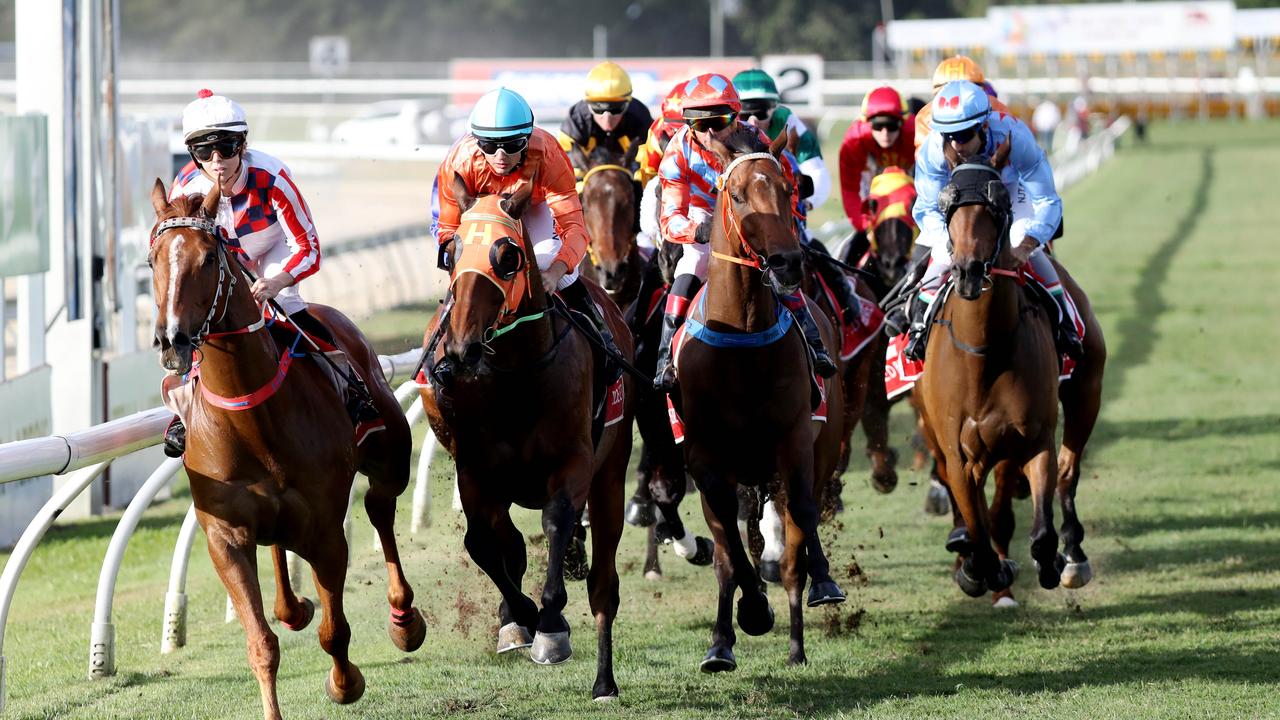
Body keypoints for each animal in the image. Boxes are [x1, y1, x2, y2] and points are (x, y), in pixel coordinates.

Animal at [145, 179, 424, 717]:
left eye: (208, 258)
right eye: (152, 260)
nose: (173, 340)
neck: (251, 420)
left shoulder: (325, 531)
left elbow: (335, 631)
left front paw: (344, 684)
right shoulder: (225, 537)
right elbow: (262, 644)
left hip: (391, 457)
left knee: (380, 508)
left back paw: (405, 620)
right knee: (281, 552)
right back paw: (292, 607)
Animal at [417, 179, 632, 702]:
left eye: (507, 256)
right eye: (451, 252)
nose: (462, 349)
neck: (515, 377)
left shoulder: (574, 464)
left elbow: (556, 523)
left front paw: (550, 625)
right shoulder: (475, 471)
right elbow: (482, 543)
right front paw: (519, 618)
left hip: (611, 472)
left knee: (604, 582)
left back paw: (604, 681)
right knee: (507, 542)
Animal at [675, 126, 844, 671]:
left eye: (788, 190)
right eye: (737, 193)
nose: (788, 262)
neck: (743, 339)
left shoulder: (794, 444)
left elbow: (803, 523)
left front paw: (819, 585)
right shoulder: (706, 460)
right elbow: (729, 550)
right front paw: (742, 619)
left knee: (793, 552)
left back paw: (796, 644)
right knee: (729, 551)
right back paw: (724, 639)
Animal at [916, 141, 1105, 599]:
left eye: (998, 204)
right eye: (948, 204)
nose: (968, 271)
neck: (983, 352)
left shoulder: (1032, 439)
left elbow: (1039, 532)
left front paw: (1048, 562)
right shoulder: (958, 453)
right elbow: (978, 530)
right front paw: (977, 567)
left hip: (1086, 389)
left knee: (1069, 471)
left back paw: (1074, 555)